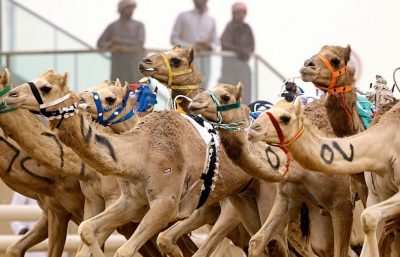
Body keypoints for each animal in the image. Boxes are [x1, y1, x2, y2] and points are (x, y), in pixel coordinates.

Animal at [188, 82, 360, 256]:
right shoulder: (288, 197)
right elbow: (258, 241)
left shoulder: (342, 203)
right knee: (322, 245)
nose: (194, 102)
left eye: (225, 96)